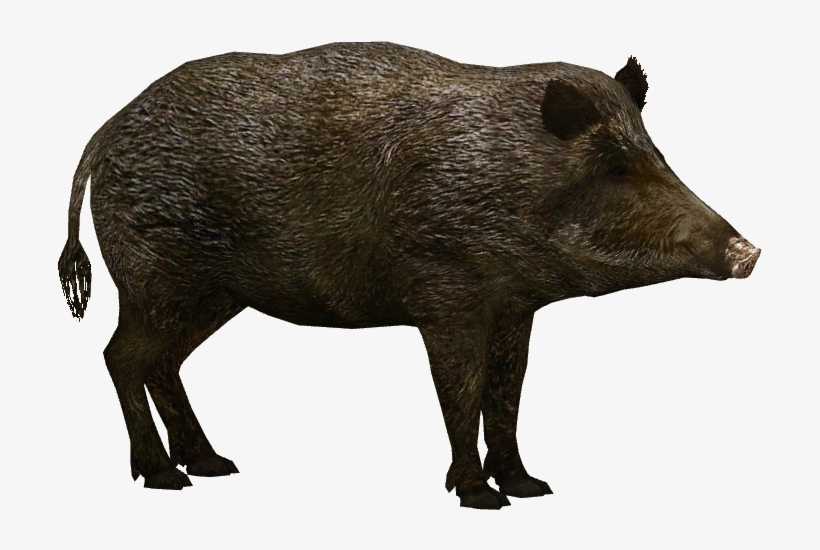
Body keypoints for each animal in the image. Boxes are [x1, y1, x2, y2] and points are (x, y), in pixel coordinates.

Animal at [58, 42, 760, 509]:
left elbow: (508, 393)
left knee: (161, 362)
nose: (749, 252)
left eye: (658, 155)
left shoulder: (516, 308)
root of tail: (107, 131)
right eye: (614, 167)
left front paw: (533, 487)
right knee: (121, 356)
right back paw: (166, 477)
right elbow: (463, 392)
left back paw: (215, 466)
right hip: (157, 278)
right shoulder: (446, 295)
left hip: (211, 295)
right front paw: (482, 497)